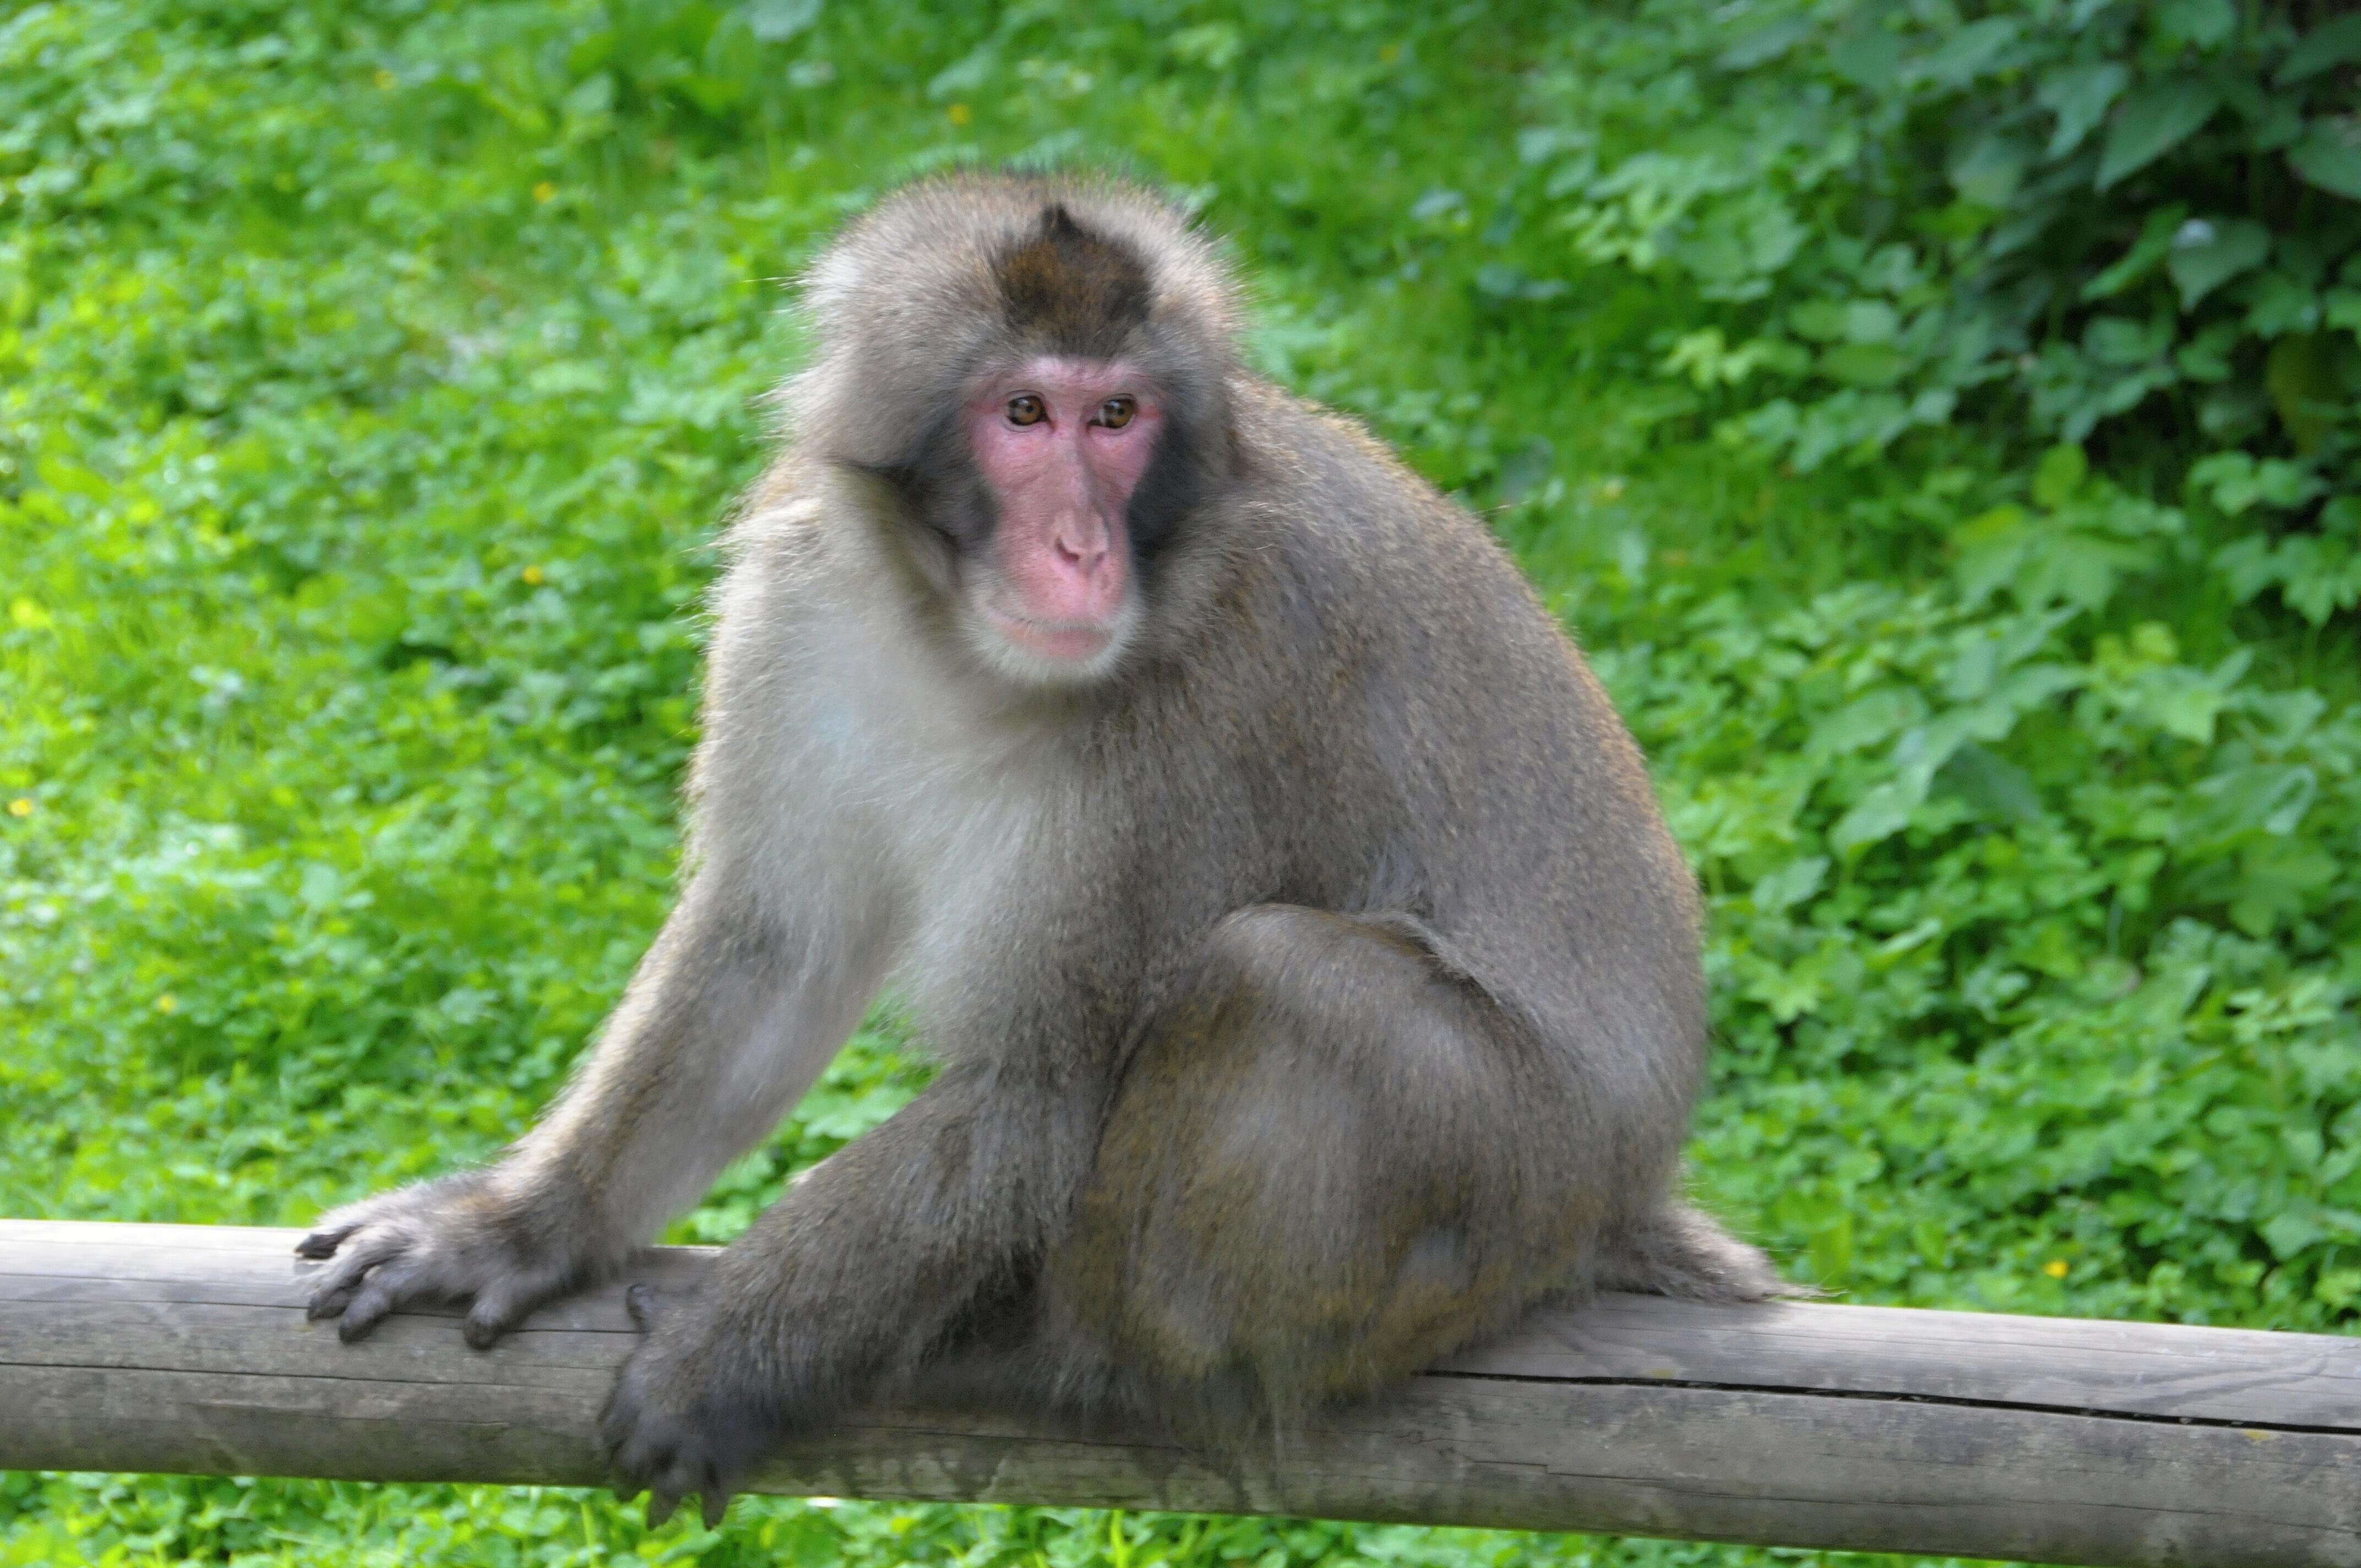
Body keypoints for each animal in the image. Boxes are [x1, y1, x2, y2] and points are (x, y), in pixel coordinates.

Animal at [296, 171, 1783, 1527]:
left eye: (1116, 418)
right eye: (1024, 415)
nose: (1079, 546)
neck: (954, 642)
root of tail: (1626, 1188)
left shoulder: (1212, 698)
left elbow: (1040, 1086)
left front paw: (721, 1362)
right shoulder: (797, 595)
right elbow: (772, 947)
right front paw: (517, 1228)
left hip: (1518, 1186)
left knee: (1290, 987)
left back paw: (1055, 1359)